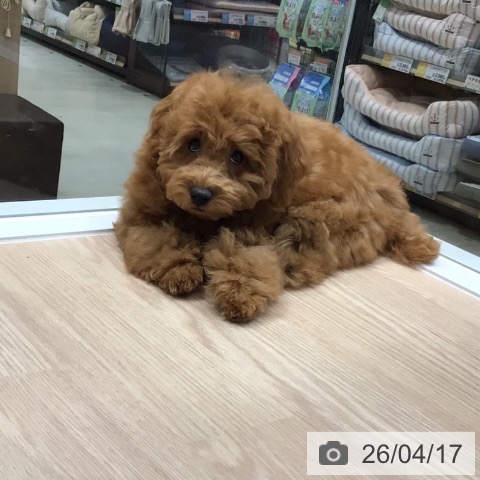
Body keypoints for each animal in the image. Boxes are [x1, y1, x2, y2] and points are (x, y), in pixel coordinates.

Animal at [114, 71, 440, 322]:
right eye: (193, 145)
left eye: (238, 157)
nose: (201, 193)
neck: (205, 219)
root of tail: (394, 199)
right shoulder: (142, 214)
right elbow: (160, 239)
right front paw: (178, 268)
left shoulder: (255, 228)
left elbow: (248, 256)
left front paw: (239, 290)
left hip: (326, 217)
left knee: (307, 253)